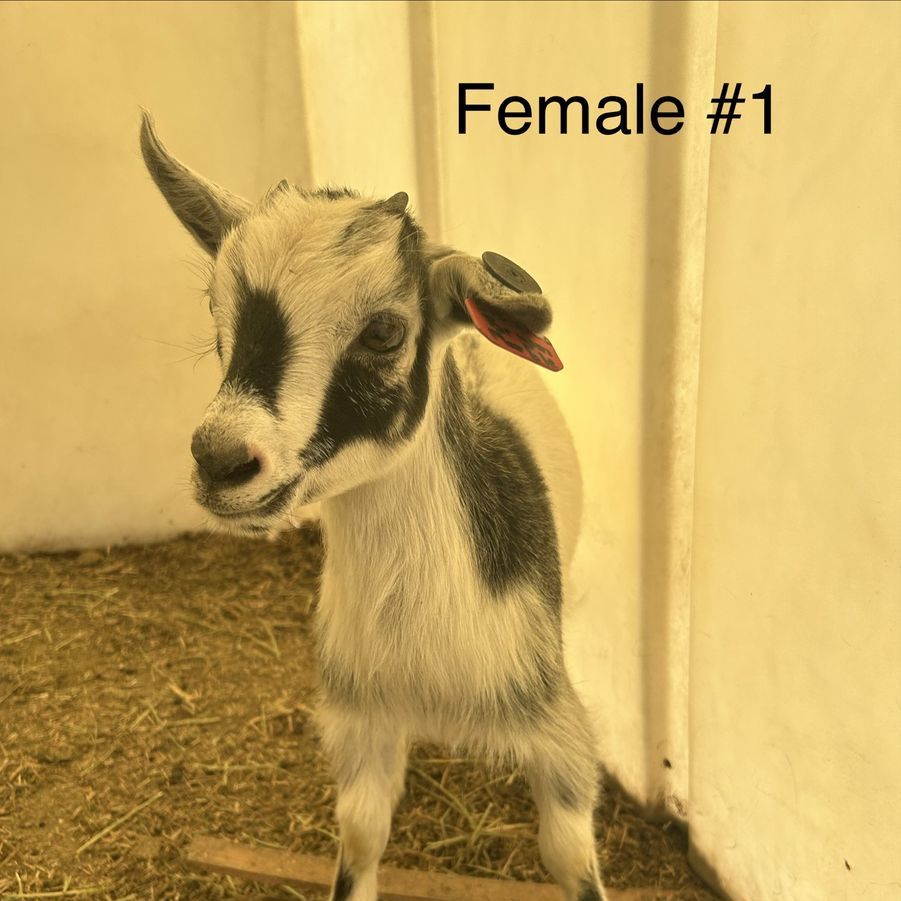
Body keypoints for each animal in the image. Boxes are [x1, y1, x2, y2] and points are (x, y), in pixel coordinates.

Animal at [139, 113, 606, 901]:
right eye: (215, 313)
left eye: (384, 330)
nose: (221, 461)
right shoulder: (361, 725)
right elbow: (360, 837)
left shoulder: (557, 734)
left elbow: (569, 855)